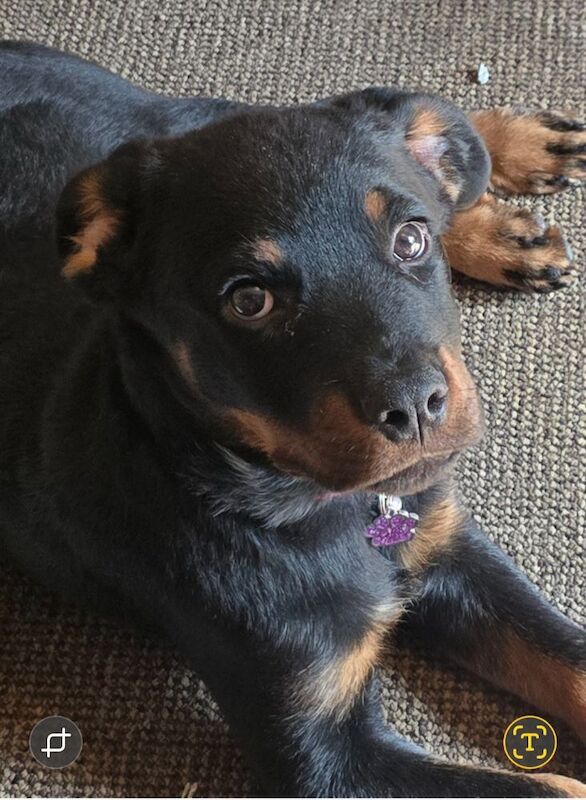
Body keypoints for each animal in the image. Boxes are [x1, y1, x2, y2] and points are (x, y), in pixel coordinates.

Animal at [1, 42, 584, 792]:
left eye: (411, 241)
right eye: (249, 300)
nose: (415, 406)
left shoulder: (450, 545)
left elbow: (566, 653)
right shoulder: (326, 752)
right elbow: (544, 785)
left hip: (160, 118)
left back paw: (511, 175)